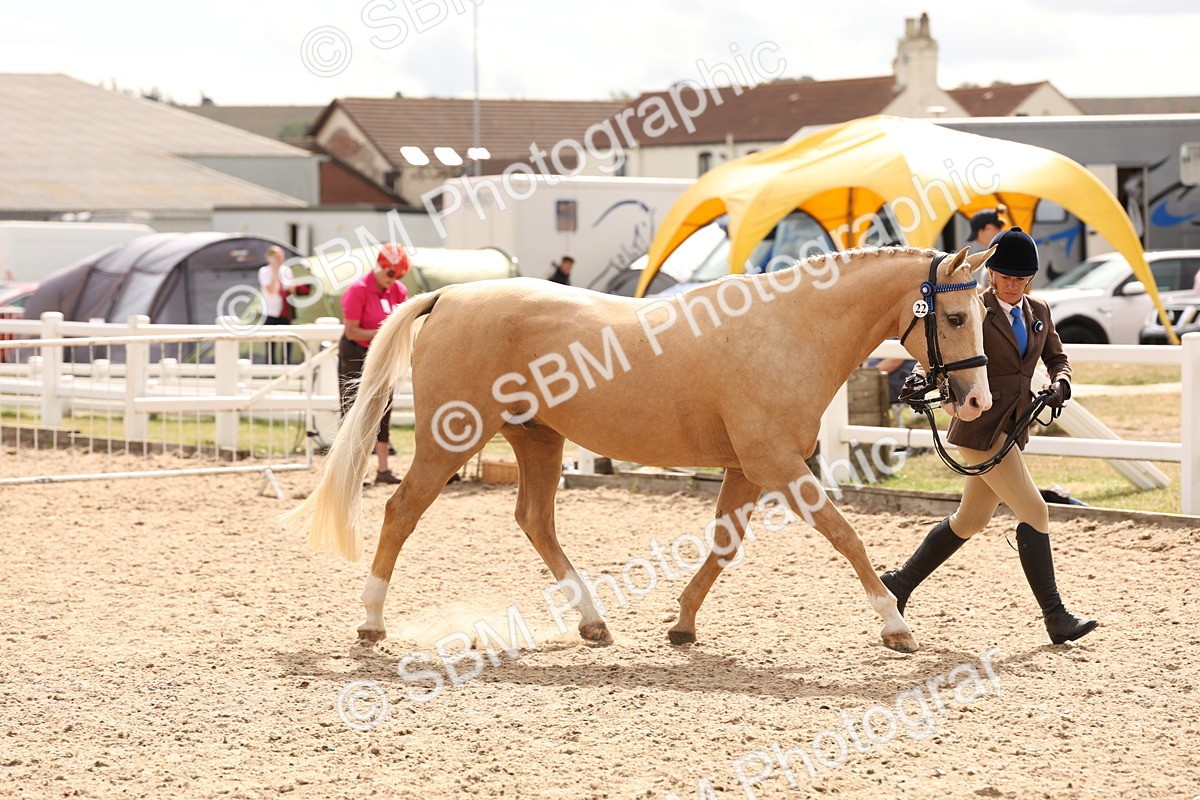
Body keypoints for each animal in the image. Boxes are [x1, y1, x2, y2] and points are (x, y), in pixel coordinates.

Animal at [284, 246, 994, 654]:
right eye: (956, 317)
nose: (976, 402)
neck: (788, 332)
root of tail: (450, 295)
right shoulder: (777, 466)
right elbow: (845, 535)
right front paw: (894, 626)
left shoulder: (746, 469)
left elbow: (722, 548)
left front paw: (681, 626)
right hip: (448, 437)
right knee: (402, 511)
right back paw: (371, 623)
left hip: (537, 438)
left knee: (535, 521)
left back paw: (594, 624)